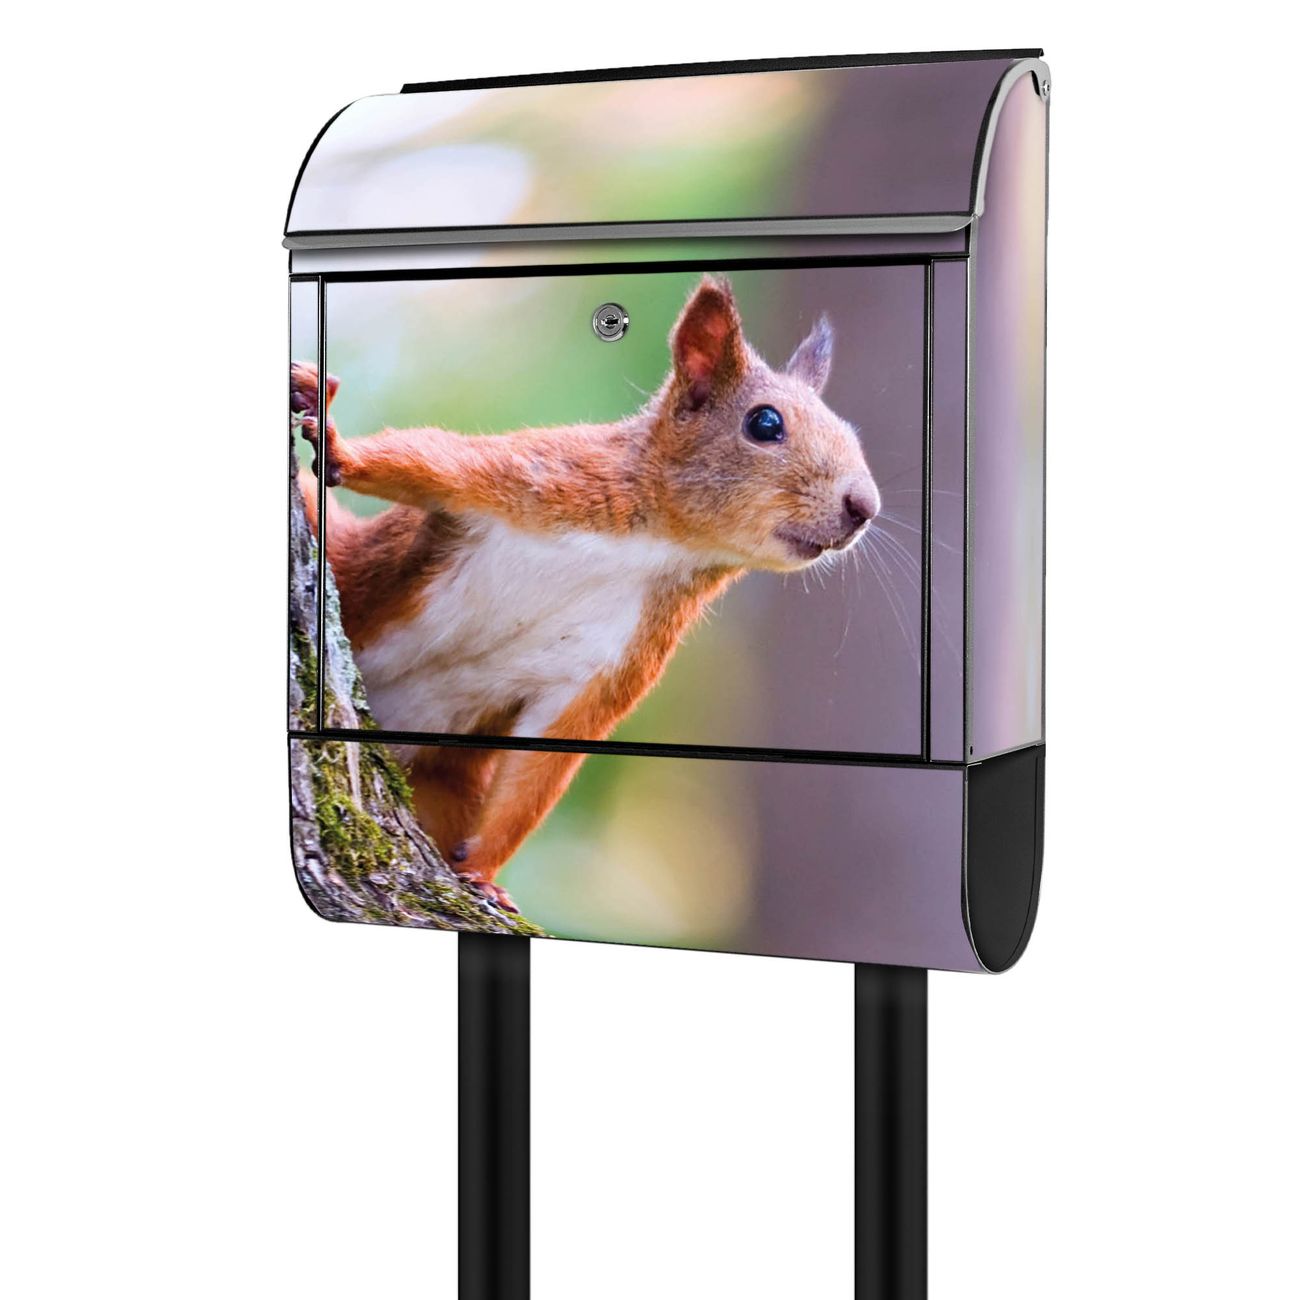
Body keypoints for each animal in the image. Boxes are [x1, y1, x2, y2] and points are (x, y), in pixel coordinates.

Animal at [291, 276, 880, 910]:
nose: (864, 507)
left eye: (852, 432)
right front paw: (338, 447)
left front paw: (483, 873)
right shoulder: (540, 476)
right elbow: (427, 461)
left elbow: (550, 752)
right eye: (765, 424)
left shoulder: (618, 656)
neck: (659, 545)